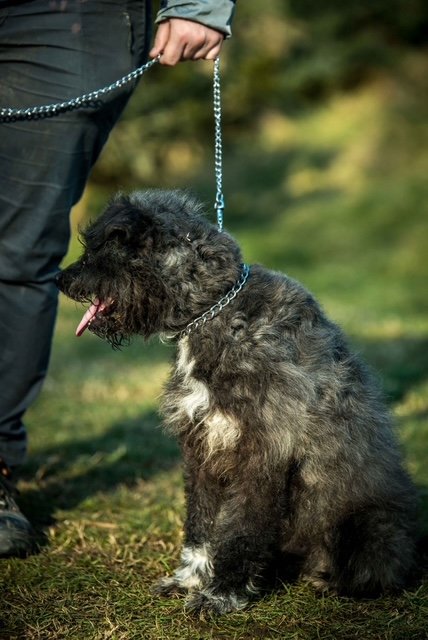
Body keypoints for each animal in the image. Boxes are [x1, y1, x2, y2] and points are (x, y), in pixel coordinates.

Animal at [57, 189, 417, 614]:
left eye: (102, 248)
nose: (60, 279)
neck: (214, 312)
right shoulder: (202, 449)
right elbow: (202, 522)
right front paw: (190, 579)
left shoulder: (261, 454)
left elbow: (241, 527)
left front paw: (221, 594)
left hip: (367, 524)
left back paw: (327, 579)